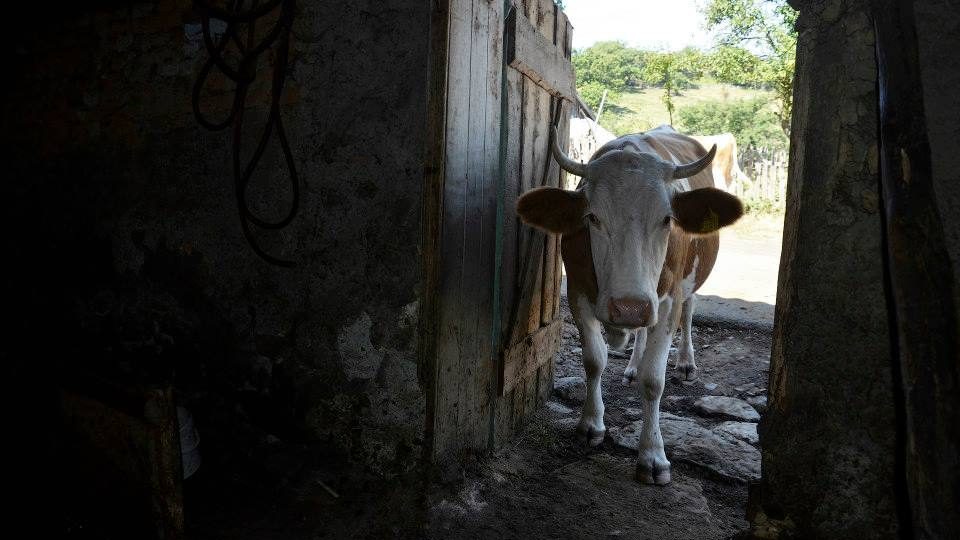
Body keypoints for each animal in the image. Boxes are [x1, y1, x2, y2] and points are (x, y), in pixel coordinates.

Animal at [516, 125, 744, 486]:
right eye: (593, 217)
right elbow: (594, 360)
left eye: (667, 219)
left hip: (688, 282)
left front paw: (652, 455)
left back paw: (685, 362)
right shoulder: (578, 292)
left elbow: (653, 380)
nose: (630, 308)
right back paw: (633, 363)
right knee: (640, 334)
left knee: (689, 311)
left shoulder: (667, 302)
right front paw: (591, 424)